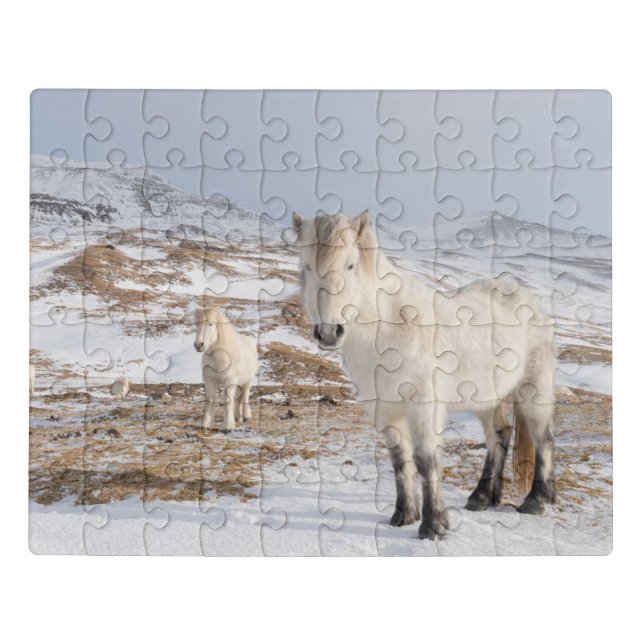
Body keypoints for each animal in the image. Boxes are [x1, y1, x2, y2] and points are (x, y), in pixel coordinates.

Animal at [292, 210, 556, 540]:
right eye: (307, 266)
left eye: (350, 265)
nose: (329, 332)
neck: (388, 328)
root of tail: (526, 299)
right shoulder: (385, 412)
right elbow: (399, 461)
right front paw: (404, 515)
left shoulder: (422, 408)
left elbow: (425, 461)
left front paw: (433, 525)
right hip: (487, 399)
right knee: (499, 435)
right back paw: (482, 498)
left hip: (534, 389)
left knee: (543, 437)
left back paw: (536, 501)